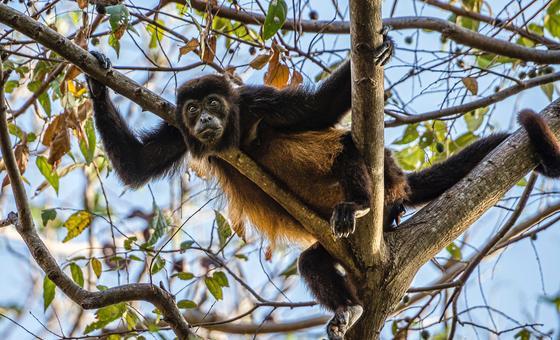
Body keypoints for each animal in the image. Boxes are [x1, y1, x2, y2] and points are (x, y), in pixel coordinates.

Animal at [84, 33, 560, 338]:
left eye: (214, 103)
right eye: (193, 108)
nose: (203, 120)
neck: (232, 129)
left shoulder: (257, 101)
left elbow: (319, 109)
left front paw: (377, 52)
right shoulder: (178, 132)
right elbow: (137, 166)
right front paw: (95, 79)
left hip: (382, 194)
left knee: (350, 147)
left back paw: (361, 203)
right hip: (335, 241)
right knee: (312, 262)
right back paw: (348, 307)